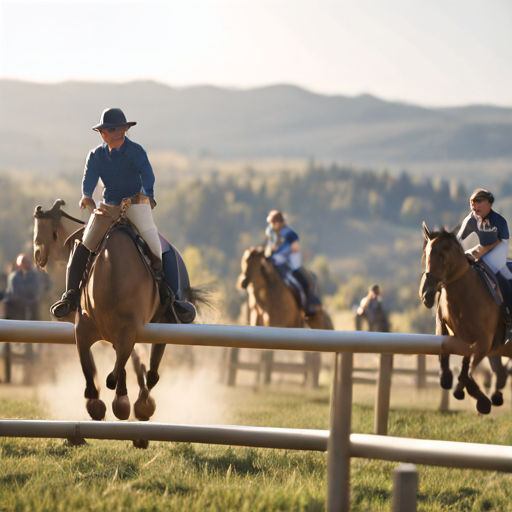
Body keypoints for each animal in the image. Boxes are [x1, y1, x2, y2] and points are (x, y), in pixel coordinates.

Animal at [32, 198, 206, 430]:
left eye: (42, 232)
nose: (37, 256)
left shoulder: (119, 329)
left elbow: (117, 363)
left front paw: (116, 400)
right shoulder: (94, 330)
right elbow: (102, 363)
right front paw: (107, 400)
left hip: (164, 322)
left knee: (153, 365)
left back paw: (144, 402)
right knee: (143, 366)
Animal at [420, 222, 512, 414]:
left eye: (444, 251)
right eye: (426, 254)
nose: (427, 294)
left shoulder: (483, 343)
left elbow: (466, 371)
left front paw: (480, 400)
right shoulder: (445, 330)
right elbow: (449, 360)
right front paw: (447, 378)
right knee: (500, 373)